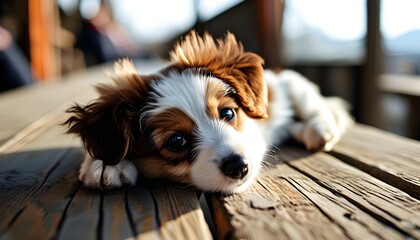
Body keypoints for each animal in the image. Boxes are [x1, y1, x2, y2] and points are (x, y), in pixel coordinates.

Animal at [66, 31, 354, 193]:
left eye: (227, 113)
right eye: (176, 140)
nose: (239, 167)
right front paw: (105, 163)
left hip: (292, 84)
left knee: (316, 108)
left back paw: (319, 130)